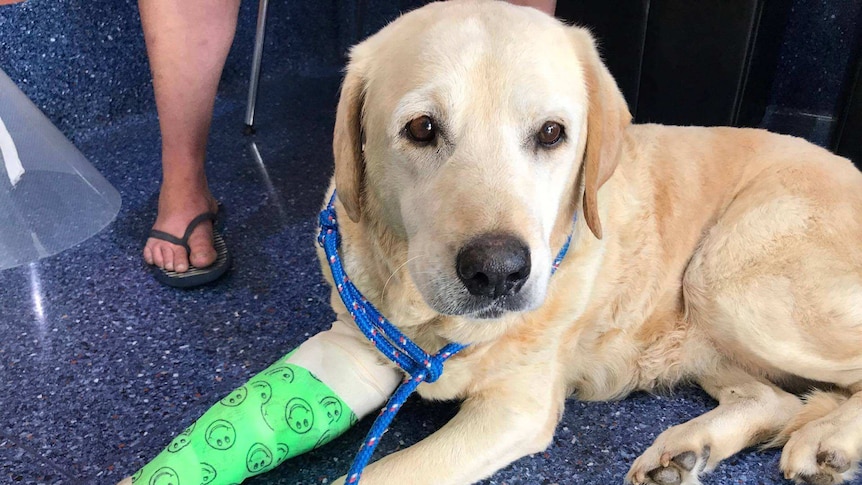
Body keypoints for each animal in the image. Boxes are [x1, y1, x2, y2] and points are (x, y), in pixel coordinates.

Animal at [328, 0, 862, 484]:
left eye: (550, 133)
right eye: (421, 128)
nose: (498, 271)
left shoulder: (515, 410)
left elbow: (378, 474)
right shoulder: (352, 338)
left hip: (729, 281)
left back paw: (826, 439)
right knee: (774, 399)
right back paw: (683, 452)